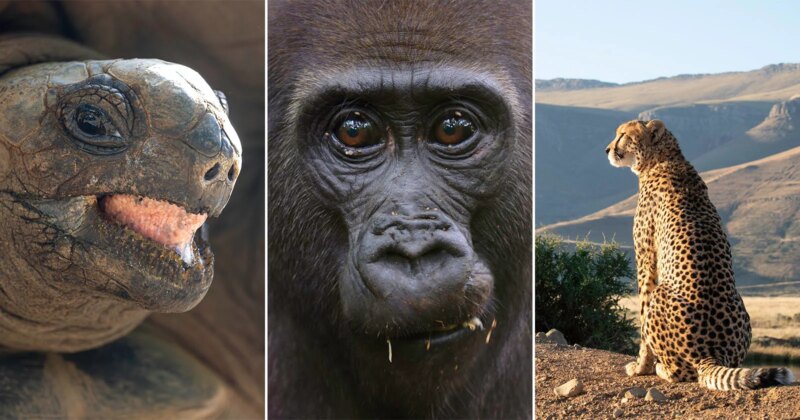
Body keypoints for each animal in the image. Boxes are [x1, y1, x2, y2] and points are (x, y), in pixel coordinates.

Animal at [605, 119, 795, 390]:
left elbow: (641, 315)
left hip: (662, 293)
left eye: (623, 135)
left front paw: (640, 367)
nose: (607, 150)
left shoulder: (645, 258)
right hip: (741, 310)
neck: (662, 158)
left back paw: (662, 368)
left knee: (681, 372)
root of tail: (711, 354)